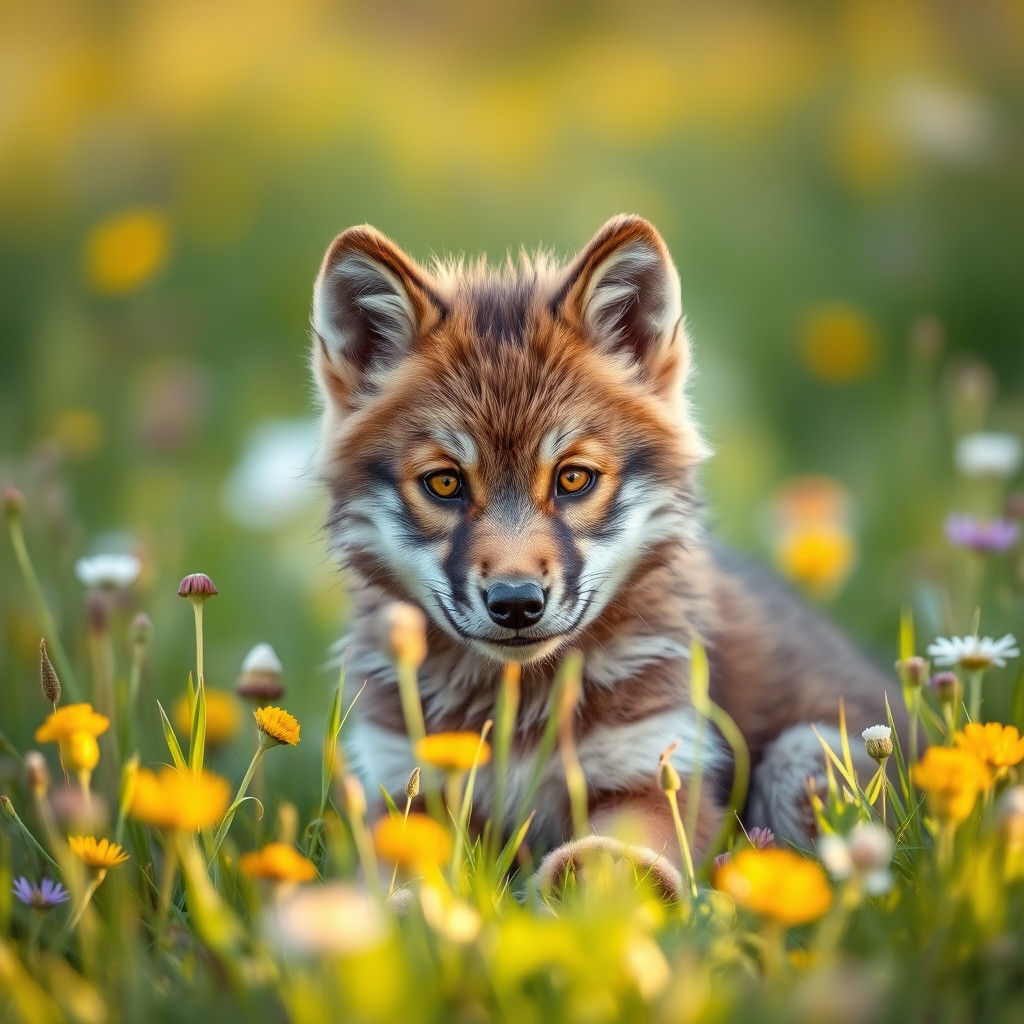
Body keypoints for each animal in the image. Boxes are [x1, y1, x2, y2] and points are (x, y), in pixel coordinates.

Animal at [310, 214, 896, 860]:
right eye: (444, 483)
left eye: (572, 478)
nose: (517, 604)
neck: (521, 716)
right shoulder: (408, 789)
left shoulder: (655, 777)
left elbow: (608, 861)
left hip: (803, 753)